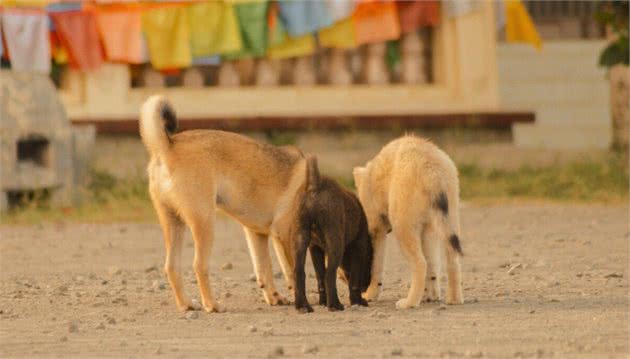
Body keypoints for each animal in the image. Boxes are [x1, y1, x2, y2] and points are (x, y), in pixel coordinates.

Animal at [140, 95, 306, 312]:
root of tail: (168, 146)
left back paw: (186, 305)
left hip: (174, 223)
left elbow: (265, 269)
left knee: (172, 267)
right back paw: (212, 305)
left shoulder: (258, 235)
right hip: (205, 223)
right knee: (199, 266)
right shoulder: (285, 236)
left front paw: (275, 298)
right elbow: (293, 271)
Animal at [294, 156, 372, 314]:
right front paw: (358, 301)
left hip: (301, 237)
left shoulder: (315, 248)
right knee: (330, 274)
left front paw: (323, 302)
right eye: (370, 259)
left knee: (299, 272)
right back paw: (335, 305)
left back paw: (303, 306)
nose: (366, 287)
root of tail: (315, 186)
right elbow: (354, 279)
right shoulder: (359, 246)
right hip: (335, 242)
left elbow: (319, 276)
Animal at [356, 135, 464, 310]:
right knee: (452, 260)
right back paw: (453, 300)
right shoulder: (428, 228)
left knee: (420, 263)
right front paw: (431, 296)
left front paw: (370, 295)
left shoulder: (375, 228)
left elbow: (375, 264)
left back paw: (409, 303)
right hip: (450, 219)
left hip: (403, 225)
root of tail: (431, 169)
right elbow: (433, 265)